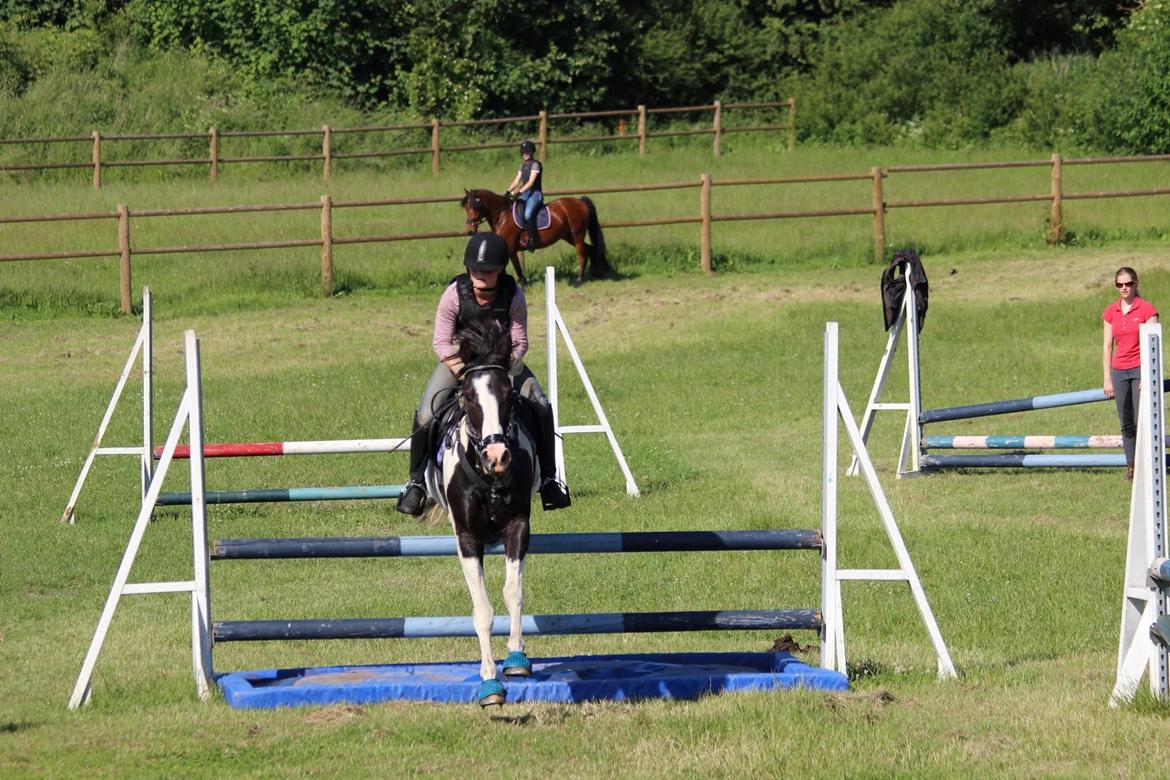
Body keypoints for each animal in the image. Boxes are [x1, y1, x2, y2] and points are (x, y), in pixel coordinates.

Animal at [423, 318, 540, 706]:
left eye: (507, 395)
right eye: (470, 397)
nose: (497, 456)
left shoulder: (518, 526)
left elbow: (513, 593)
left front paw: (516, 659)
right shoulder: (468, 538)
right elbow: (483, 610)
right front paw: (490, 681)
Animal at [458, 188, 613, 284]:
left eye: (475, 205)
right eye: (466, 207)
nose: (470, 230)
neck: (503, 215)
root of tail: (580, 202)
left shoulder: (510, 248)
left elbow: (516, 267)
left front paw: (523, 285)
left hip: (577, 235)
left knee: (582, 255)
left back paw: (579, 281)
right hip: (569, 236)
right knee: (591, 249)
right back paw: (595, 273)